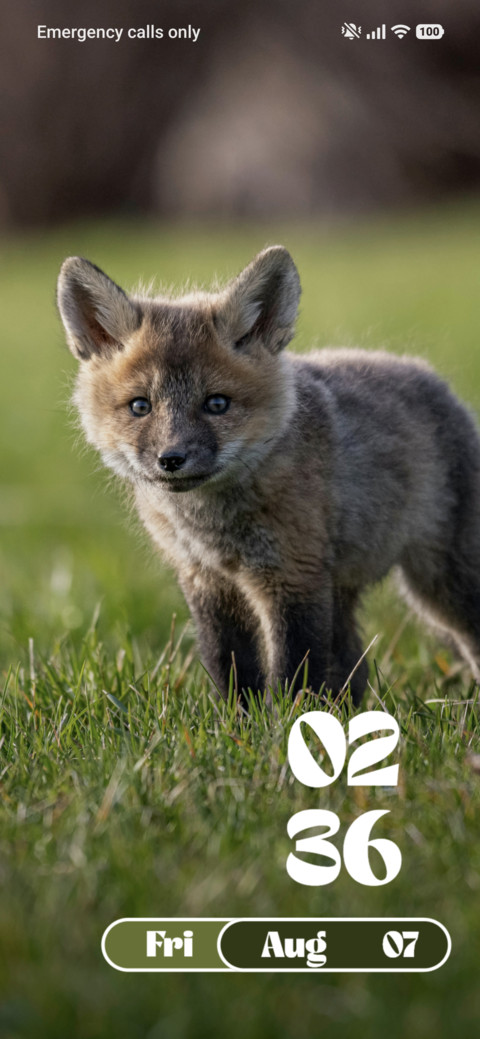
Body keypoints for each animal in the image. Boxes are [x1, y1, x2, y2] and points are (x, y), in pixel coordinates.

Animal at [57, 245, 480, 705]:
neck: (214, 527)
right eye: (140, 406)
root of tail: (430, 376)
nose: (171, 459)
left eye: (217, 404)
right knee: (355, 667)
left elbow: (294, 671)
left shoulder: (293, 576)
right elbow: (230, 667)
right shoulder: (207, 582)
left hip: (442, 587)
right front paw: (238, 721)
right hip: (348, 590)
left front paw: (290, 722)